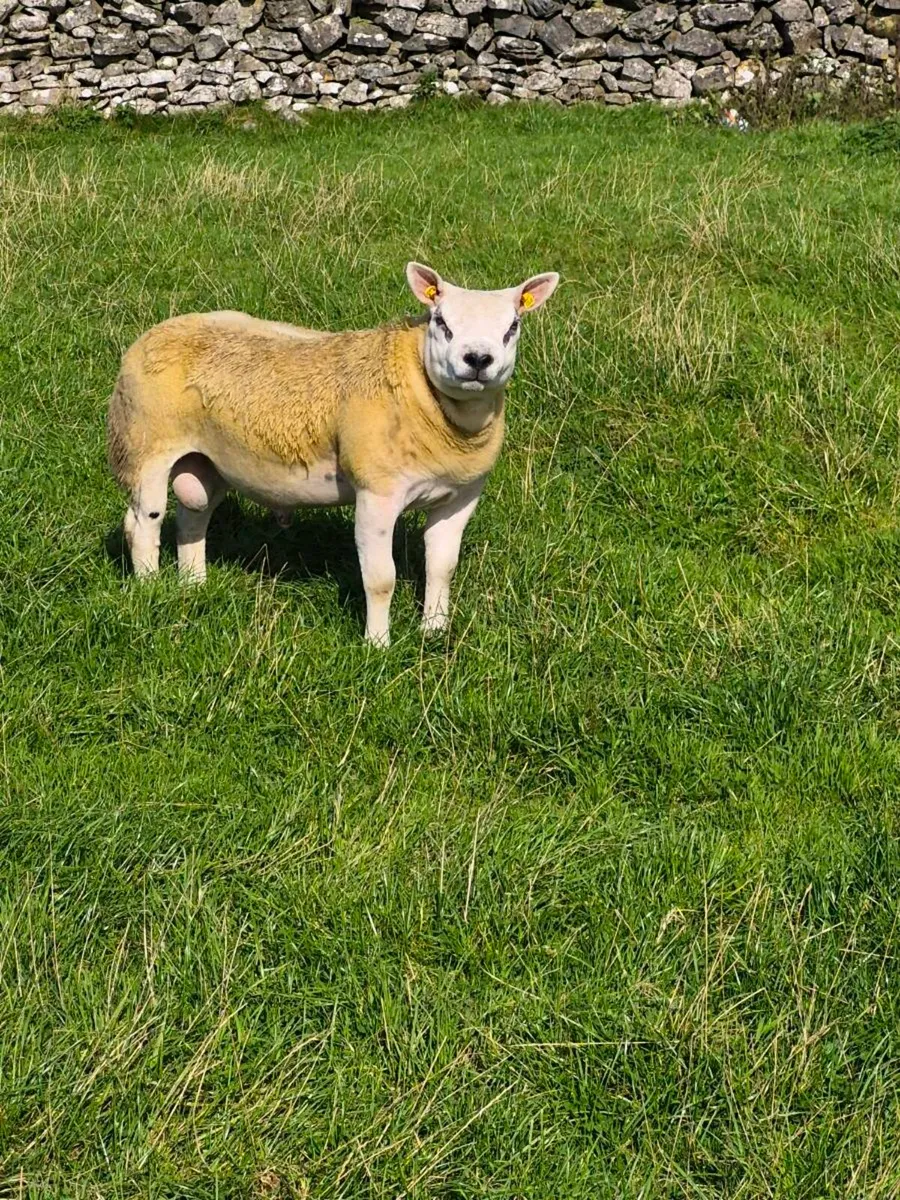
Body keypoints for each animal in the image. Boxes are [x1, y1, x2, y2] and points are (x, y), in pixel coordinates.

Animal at [107, 262, 559, 645]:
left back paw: (193, 585)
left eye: (513, 326)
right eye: (441, 321)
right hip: (144, 444)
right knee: (143, 523)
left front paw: (433, 631)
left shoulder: (461, 498)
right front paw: (378, 645)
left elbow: (442, 567)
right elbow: (381, 579)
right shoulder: (376, 495)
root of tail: (157, 331)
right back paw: (150, 588)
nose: (478, 359)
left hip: (206, 461)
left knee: (193, 516)